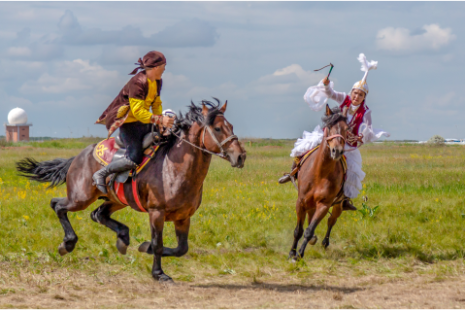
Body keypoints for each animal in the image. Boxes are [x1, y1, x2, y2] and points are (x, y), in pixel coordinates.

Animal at [15, 100, 245, 284]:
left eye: (231, 126)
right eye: (217, 128)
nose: (241, 156)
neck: (173, 168)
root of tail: (78, 157)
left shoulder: (183, 217)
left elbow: (181, 248)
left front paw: (145, 248)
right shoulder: (157, 212)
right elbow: (158, 244)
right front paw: (158, 273)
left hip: (116, 200)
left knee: (98, 214)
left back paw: (123, 238)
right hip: (80, 197)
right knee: (58, 205)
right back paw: (68, 243)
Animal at [288, 104, 346, 262]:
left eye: (346, 128)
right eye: (329, 126)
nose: (337, 151)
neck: (320, 172)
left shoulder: (324, 205)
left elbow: (308, 231)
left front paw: (299, 254)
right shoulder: (301, 202)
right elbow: (298, 230)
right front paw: (292, 253)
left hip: (338, 205)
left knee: (331, 220)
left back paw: (325, 242)